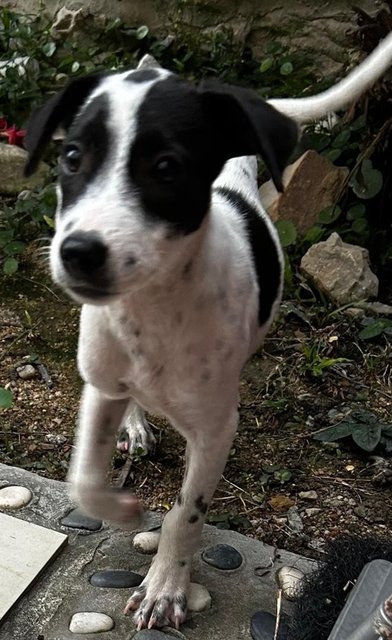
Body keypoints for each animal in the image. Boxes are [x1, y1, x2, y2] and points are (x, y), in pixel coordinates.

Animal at [23, 32, 392, 628]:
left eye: (166, 166)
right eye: (72, 157)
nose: (77, 253)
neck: (151, 313)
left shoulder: (217, 430)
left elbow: (186, 515)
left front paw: (165, 588)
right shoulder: (101, 383)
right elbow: (84, 477)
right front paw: (121, 507)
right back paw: (137, 425)